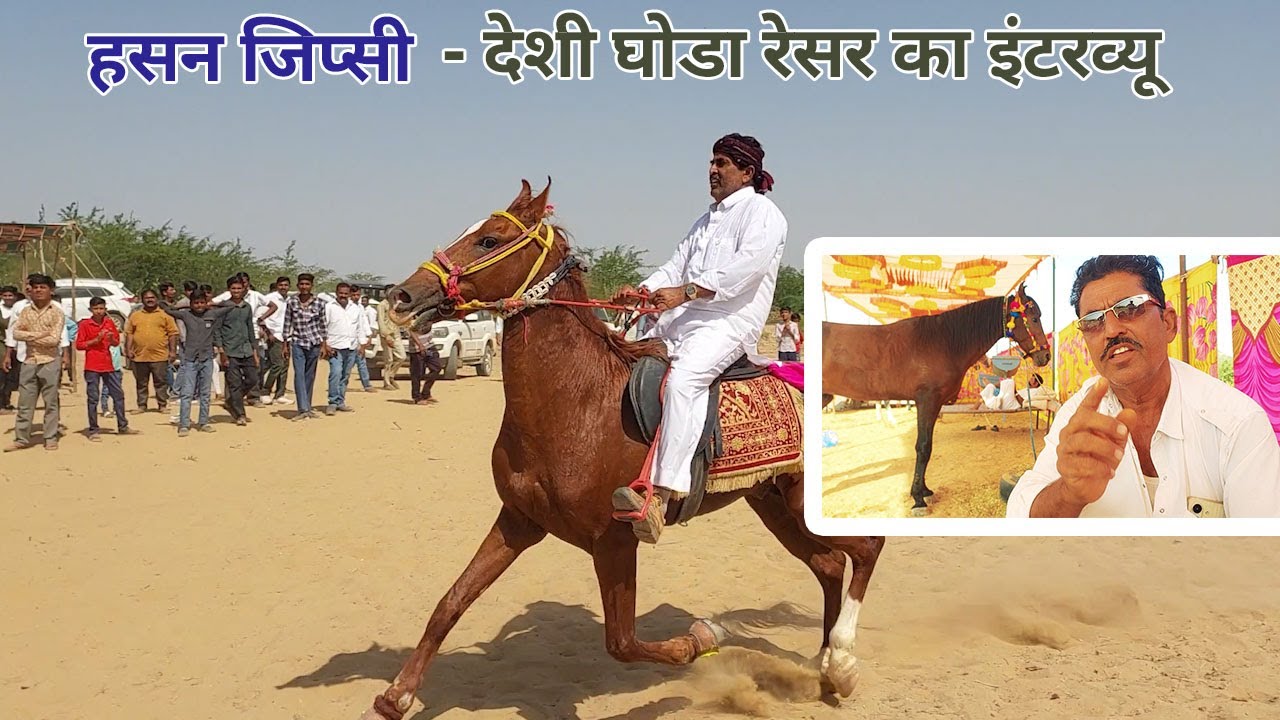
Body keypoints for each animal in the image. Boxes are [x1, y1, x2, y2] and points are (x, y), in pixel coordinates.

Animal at [358, 180, 885, 720]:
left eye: (490, 239)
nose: (403, 295)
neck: (578, 401)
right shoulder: (519, 521)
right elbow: (452, 600)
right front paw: (397, 695)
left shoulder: (613, 541)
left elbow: (623, 642)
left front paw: (703, 636)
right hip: (773, 504)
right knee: (830, 565)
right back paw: (822, 668)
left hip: (798, 504)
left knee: (867, 549)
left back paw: (842, 663)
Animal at [821, 285, 1051, 514]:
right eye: (1034, 318)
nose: (1046, 356)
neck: (941, 341)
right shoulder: (927, 400)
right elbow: (922, 448)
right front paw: (918, 500)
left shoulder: (934, 403)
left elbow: (928, 448)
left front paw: (924, 492)